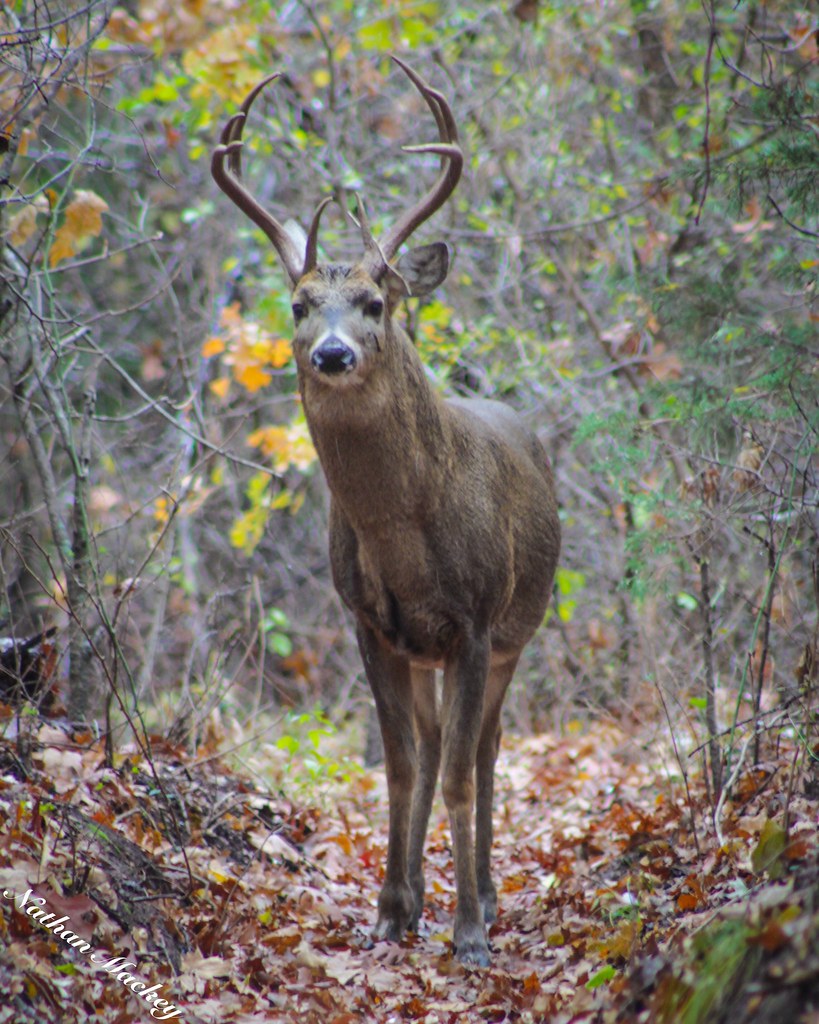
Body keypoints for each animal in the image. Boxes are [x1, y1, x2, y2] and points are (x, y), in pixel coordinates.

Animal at [212, 57, 561, 966]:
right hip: (427, 649)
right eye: (299, 304)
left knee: (484, 749)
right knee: (438, 746)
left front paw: (468, 931)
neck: (406, 537)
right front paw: (389, 910)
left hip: (515, 632)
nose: (332, 353)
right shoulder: (370, 621)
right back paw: (423, 898)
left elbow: (461, 773)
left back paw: (486, 897)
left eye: (376, 301)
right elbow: (400, 764)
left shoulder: (474, 621)